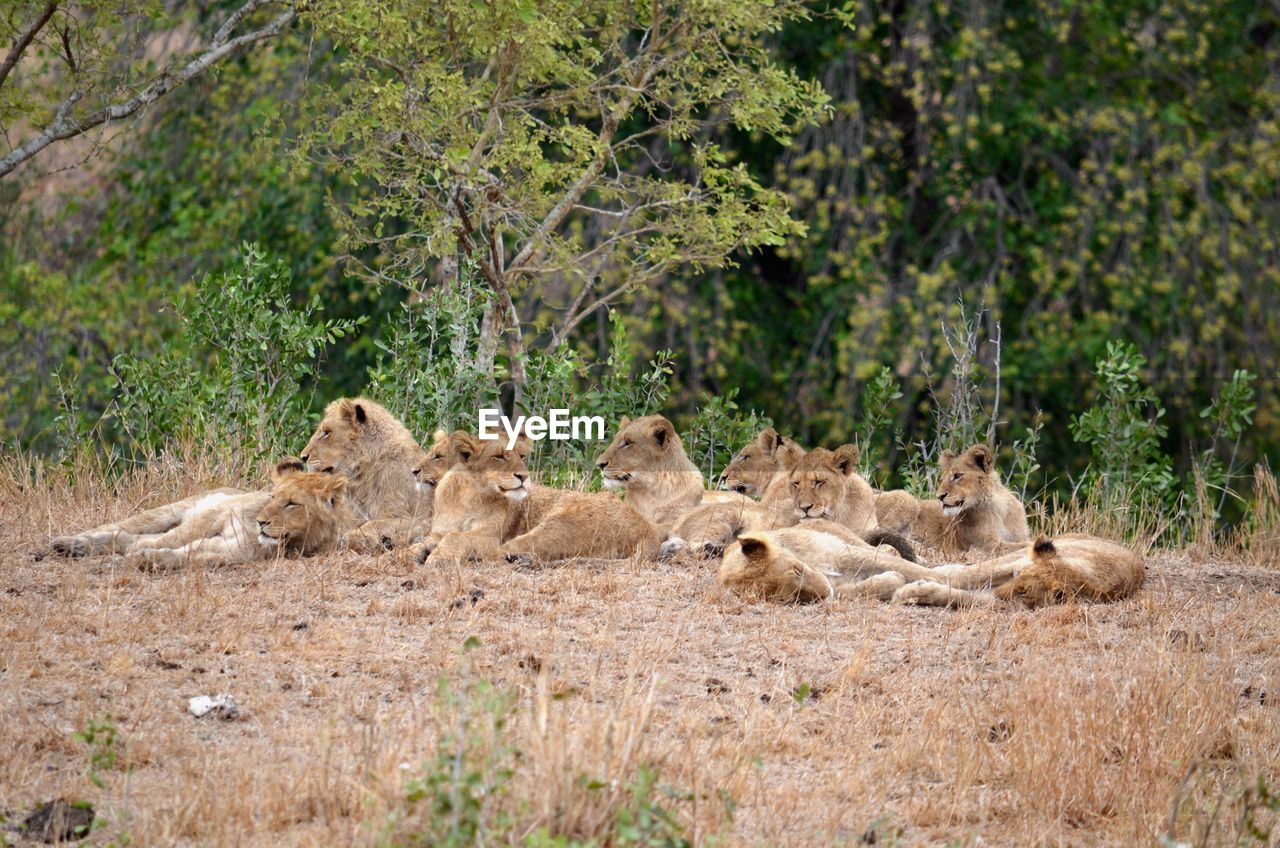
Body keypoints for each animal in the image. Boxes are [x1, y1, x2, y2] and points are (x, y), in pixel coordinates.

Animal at [875, 445, 1034, 558]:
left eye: (957, 476)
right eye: (942, 478)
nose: (939, 496)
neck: (1000, 509)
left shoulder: (1017, 536)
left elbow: (1024, 542)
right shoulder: (986, 545)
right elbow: (1025, 545)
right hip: (906, 498)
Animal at [890, 535, 1152, 607]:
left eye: (1024, 593)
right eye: (1017, 577)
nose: (998, 593)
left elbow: (963, 597)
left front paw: (914, 592)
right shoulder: (1010, 566)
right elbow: (960, 577)